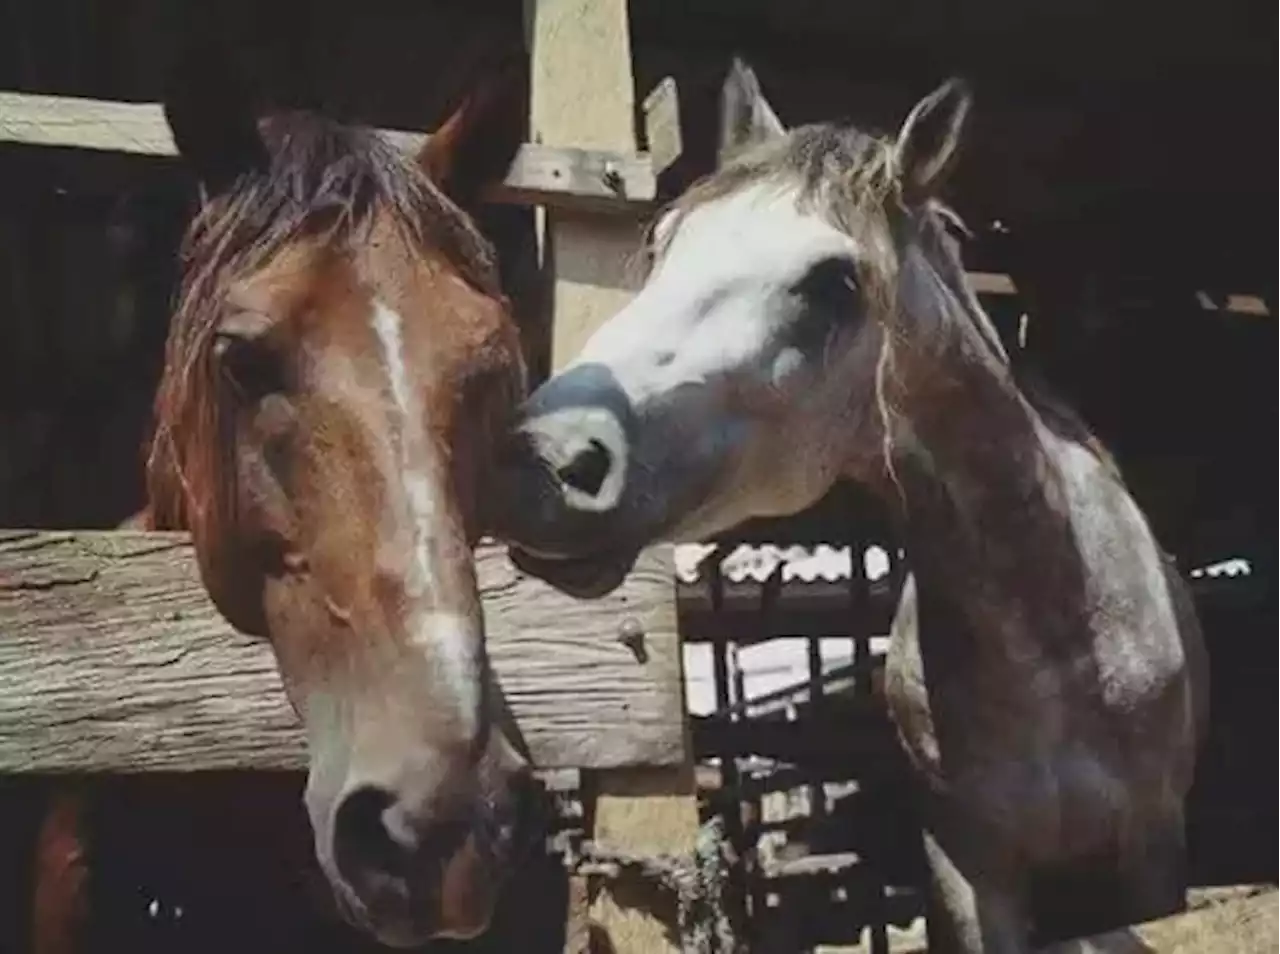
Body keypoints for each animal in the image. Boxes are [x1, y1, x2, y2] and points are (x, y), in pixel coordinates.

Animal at [496, 59, 1208, 952]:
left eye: (835, 281)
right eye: (660, 245)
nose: (545, 462)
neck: (1055, 628)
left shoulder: (1153, 852)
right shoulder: (968, 866)